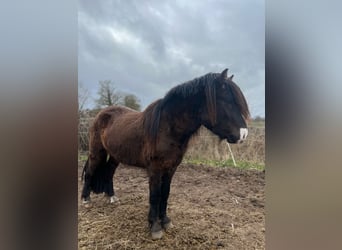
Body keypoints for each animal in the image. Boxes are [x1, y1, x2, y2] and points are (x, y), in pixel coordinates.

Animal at [81, 69, 250, 240]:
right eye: (226, 101)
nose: (243, 134)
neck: (167, 128)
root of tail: (101, 114)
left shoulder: (171, 168)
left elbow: (165, 193)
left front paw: (165, 221)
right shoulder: (155, 169)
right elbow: (155, 195)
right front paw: (154, 226)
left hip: (115, 156)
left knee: (109, 173)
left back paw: (111, 197)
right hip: (97, 152)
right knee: (90, 172)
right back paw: (86, 199)